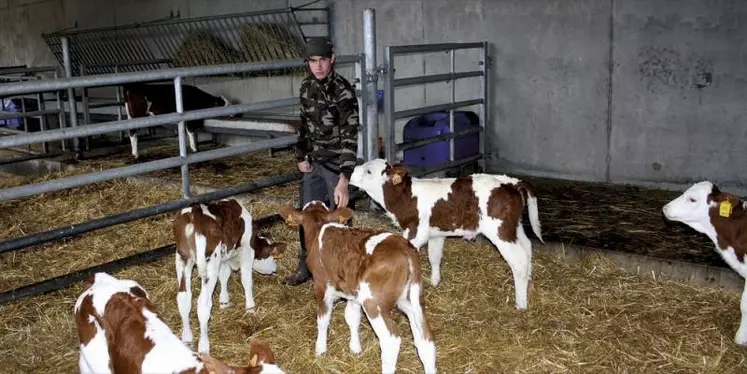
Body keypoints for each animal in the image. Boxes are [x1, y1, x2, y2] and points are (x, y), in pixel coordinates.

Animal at [172, 199, 286, 354]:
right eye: (272, 257)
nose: (275, 268)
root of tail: (194, 214)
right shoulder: (246, 251)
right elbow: (246, 280)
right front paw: (251, 309)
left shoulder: (223, 258)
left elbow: (224, 276)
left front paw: (224, 301)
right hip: (209, 263)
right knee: (203, 303)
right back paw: (204, 346)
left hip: (182, 259)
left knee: (184, 298)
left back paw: (187, 339)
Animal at [280, 202, 438, 374]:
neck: (318, 228)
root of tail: (406, 249)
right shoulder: (354, 294)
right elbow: (352, 318)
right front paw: (355, 348)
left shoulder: (322, 286)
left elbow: (323, 320)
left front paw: (320, 349)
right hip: (411, 298)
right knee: (425, 338)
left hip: (373, 303)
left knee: (391, 341)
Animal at [348, 159, 548, 312]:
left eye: (369, 171)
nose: (351, 172)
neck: (406, 197)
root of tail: (511, 182)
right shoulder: (435, 234)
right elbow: (435, 257)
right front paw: (435, 281)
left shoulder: (416, 232)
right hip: (515, 227)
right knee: (528, 247)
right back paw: (528, 282)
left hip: (500, 231)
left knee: (519, 259)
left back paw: (521, 303)